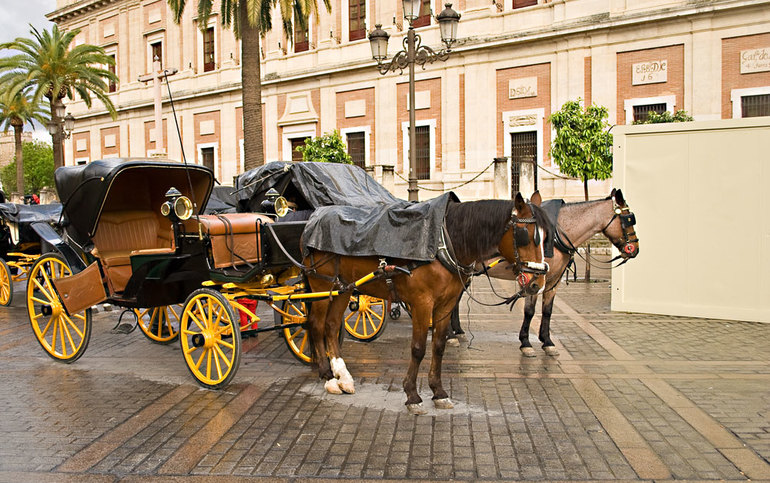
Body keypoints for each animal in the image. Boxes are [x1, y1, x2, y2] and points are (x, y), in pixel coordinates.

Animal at [304, 195, 548, 414]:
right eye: (525, 235)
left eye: (546, 238)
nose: (538, 283)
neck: (444, 243)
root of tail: (314, 219)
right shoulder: (422, 303)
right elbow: (418, 348)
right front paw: (412, 395)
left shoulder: (445, 305)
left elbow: (438, 346)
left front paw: (438, 392)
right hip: (321, 286)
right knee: (316, 325)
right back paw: (328, 377)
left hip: (342, 288)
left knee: (331, 326)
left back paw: (343, 377)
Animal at [498, 191, 636, 358]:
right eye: (628, 219)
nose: (635, 248)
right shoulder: (534, 279)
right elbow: (529, 311)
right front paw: (525, 343)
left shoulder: (552, 280)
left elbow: (547, 310)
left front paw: (547, 341)